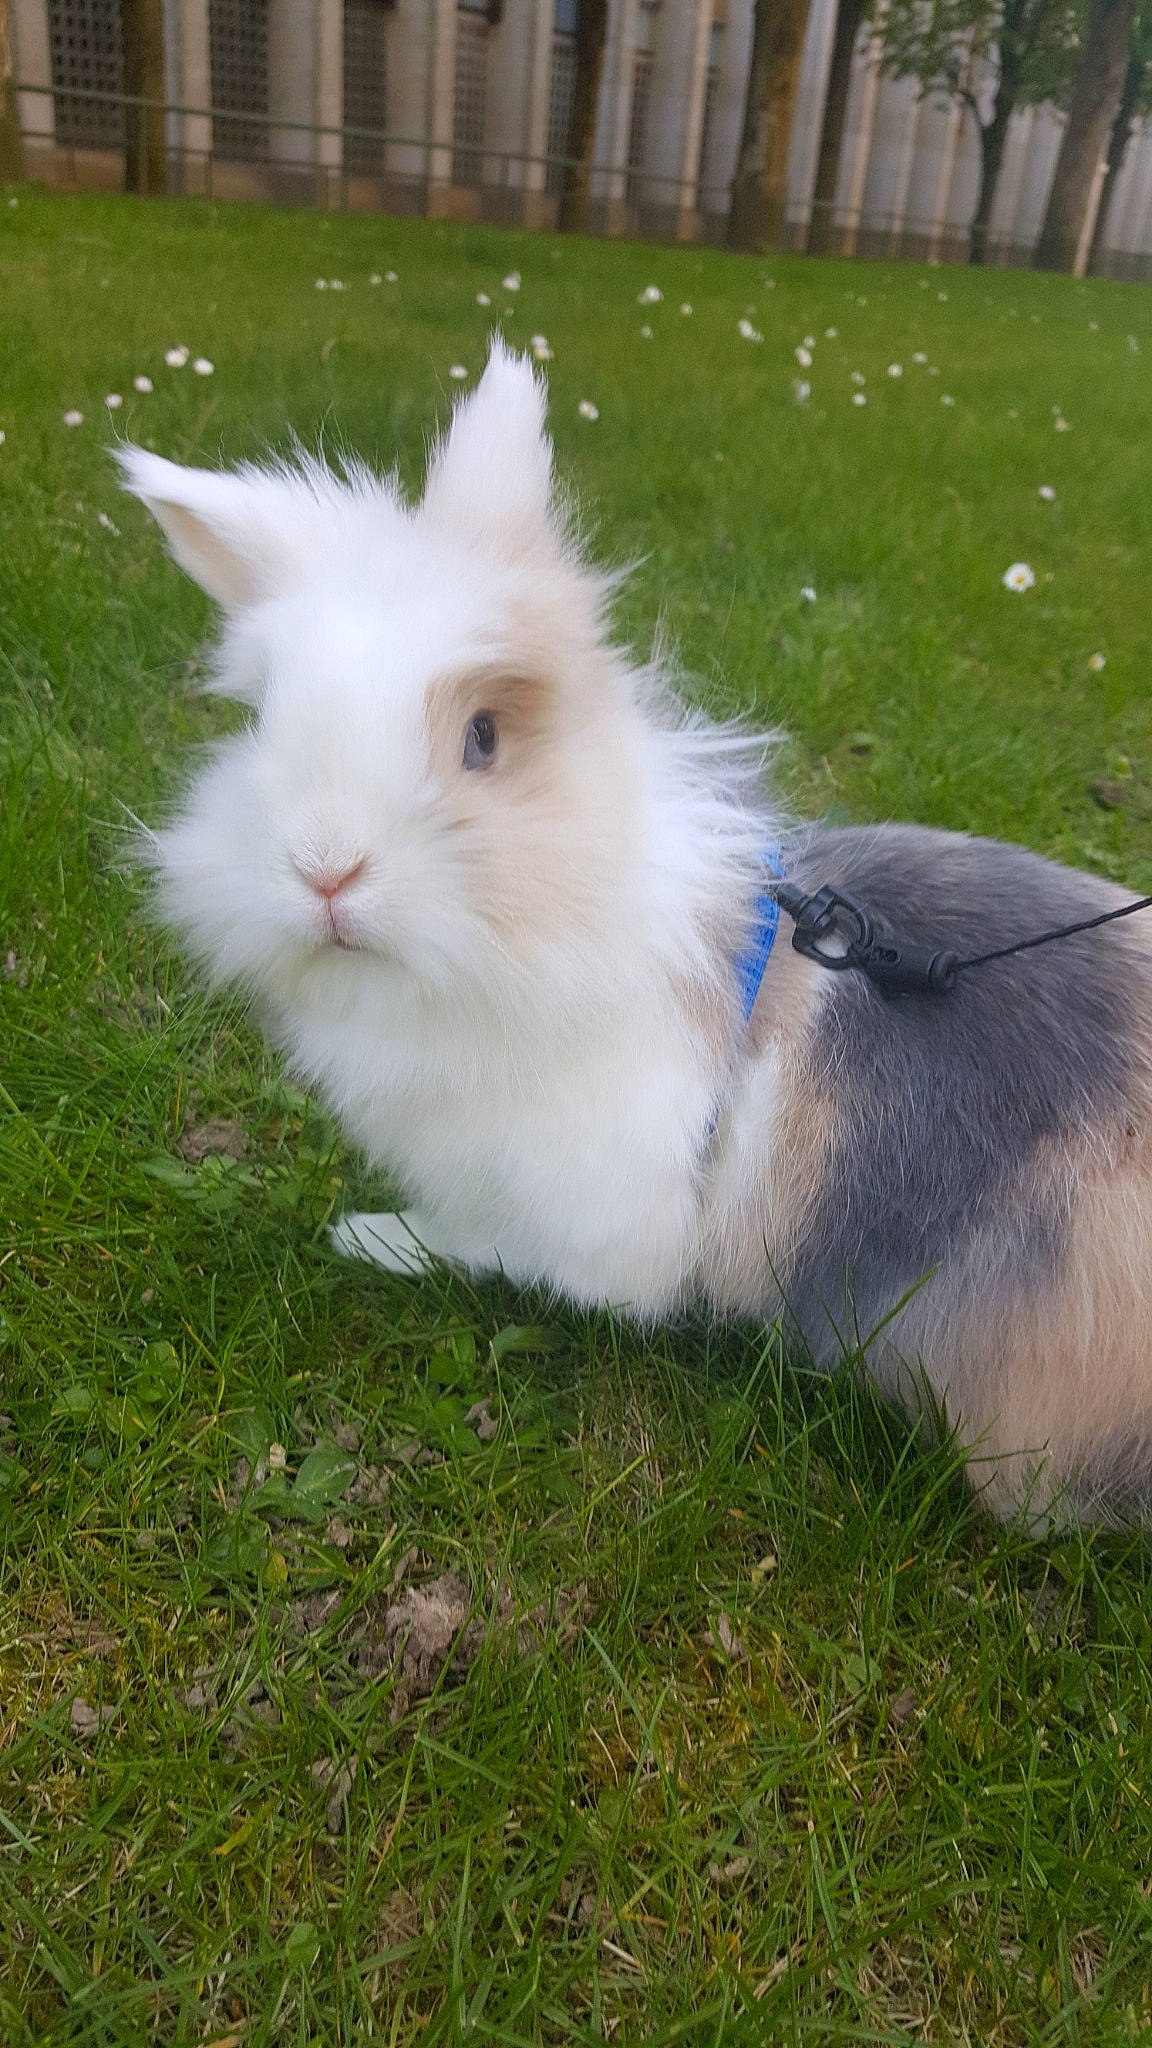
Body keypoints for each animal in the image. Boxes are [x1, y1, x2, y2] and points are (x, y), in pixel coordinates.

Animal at [121, 339, 1152, 1525]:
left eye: (483, 737)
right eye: (262, 723)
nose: (325, 868)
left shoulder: (574, 1202)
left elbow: (481, 1245)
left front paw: (374, 1238)